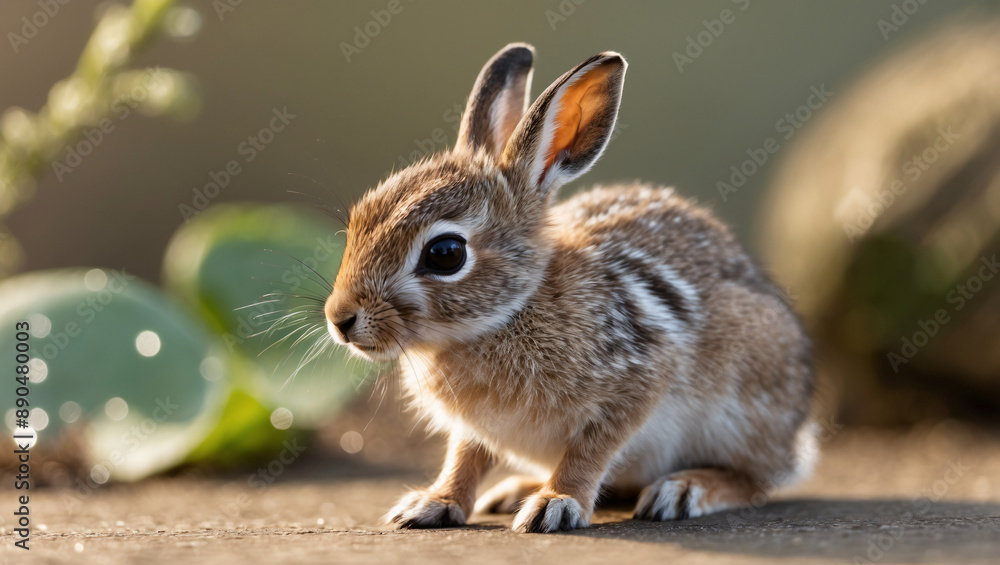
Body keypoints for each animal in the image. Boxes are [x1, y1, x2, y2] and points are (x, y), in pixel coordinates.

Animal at [324, 42, 818, 533]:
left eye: (446, 253)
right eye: (359, 218)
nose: (340, 318)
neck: (508, 313)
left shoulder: (639, 377)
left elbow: (590, 451)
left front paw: (556, 504)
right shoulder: (475, 431)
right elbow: (464, 459)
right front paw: (432, 503)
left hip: (747, 398)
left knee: (756, 480)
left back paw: (682, 490)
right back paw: (514, 491)